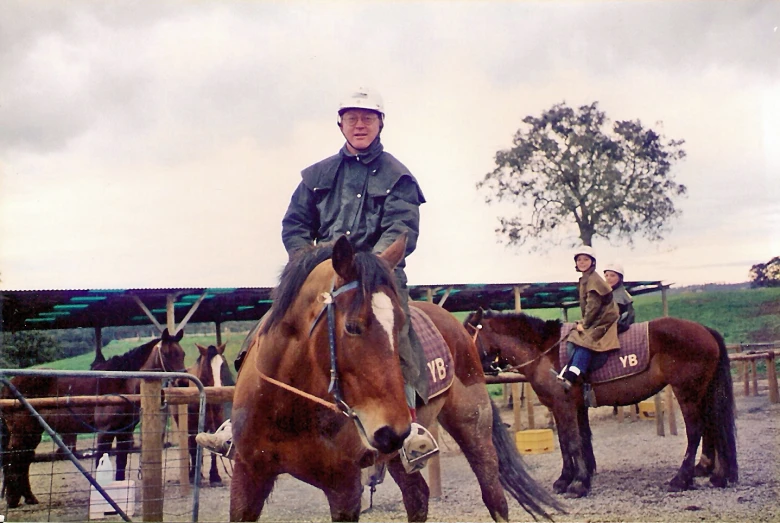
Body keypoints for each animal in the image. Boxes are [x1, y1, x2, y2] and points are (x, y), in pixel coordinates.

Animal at [0, 332, 186, 508]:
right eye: (167, 353)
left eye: (182, 354)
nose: (183, 381)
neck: (121, 383)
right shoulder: (105, 431)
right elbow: (100, 460)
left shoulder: (125, 432)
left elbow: (121, 462)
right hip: (23, 432)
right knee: (14, 458)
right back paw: (13, 499)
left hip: (33, 432)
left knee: (24, 459)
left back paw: (27, 498)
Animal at [225, 235, 560, 520]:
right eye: (352, 326)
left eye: (401, 325)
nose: (392, 429)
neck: (288, 407)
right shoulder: (248, 474)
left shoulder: (343, 487)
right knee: (418, 496)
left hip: (472, 427)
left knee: (494, 497)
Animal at [464, 310, 736, 502]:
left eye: (464, 336)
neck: (543, 351)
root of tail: (704, 330)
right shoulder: (569, 407)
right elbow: (571, 441)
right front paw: (567, 479)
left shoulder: (563, 405)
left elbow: (572, 442)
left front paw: (578, 484)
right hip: (702, 392)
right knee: (712, 427)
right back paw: (715, 473)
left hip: (687, 392)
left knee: (695, 431)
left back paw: (682, 479)